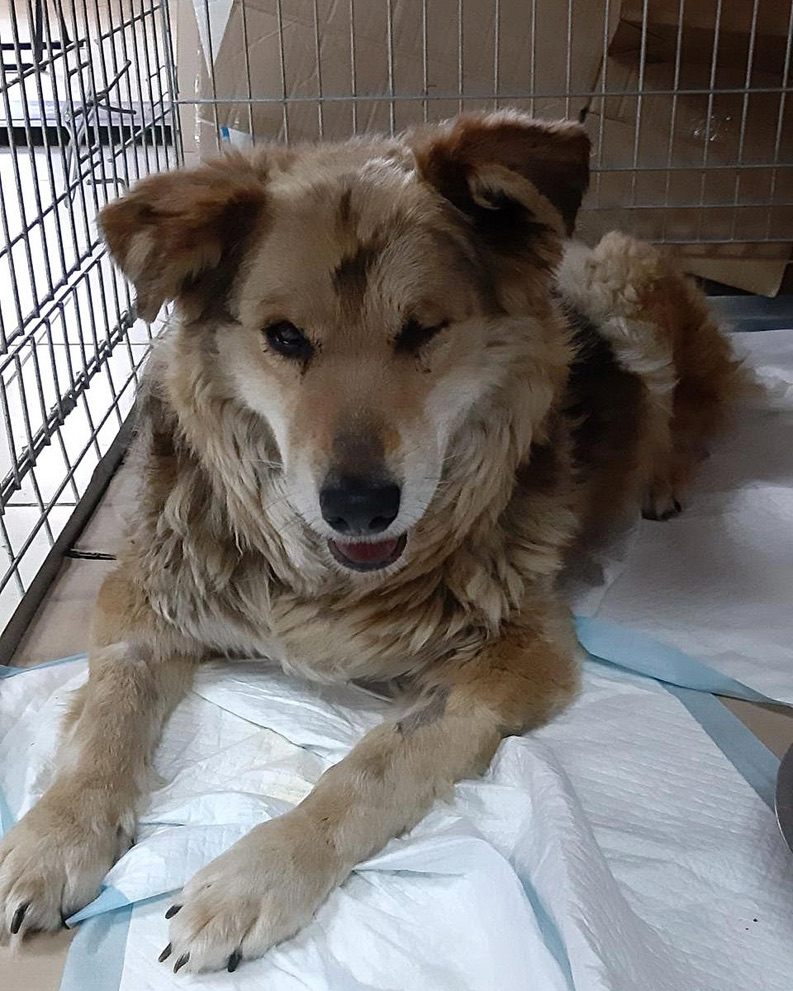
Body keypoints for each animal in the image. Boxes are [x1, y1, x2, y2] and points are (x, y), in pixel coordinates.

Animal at [0, 111, 747, 973]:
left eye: (422, 331)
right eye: (285, 337)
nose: (358, 506)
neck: (330, 578)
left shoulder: (518, 653)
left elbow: (372, 766)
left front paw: (256, 875)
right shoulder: (145, 588)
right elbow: (106, 712)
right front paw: (57, 835)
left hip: (629, 298)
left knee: (689, 408)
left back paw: (662, 480)